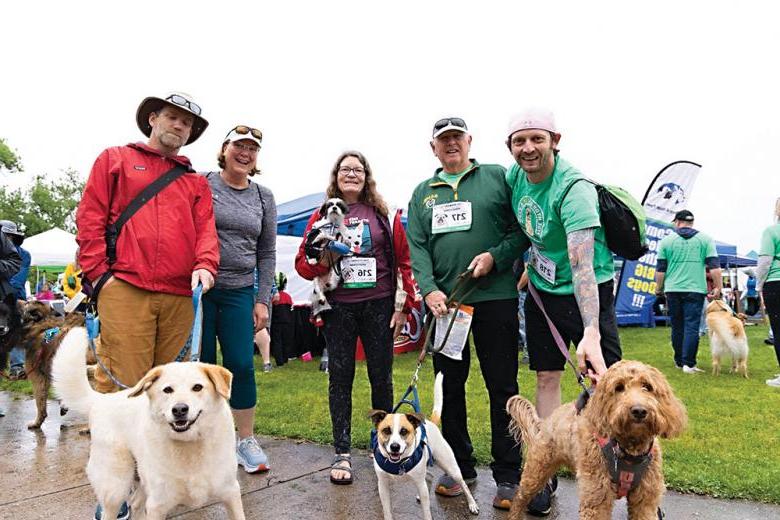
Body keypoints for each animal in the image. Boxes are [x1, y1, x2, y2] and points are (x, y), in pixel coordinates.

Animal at [51, 330, 244, 520]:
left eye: (197, 387)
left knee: (136, 502)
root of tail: (102, 399)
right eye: (167, 390)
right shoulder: (157, 505)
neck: (189, 446)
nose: (179, 409)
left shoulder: (231, 493)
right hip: (115, 487)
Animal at [368, 374, 482, 520]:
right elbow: (387, 511)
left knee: (464, 485)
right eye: (386, 430)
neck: (399, 464)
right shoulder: (383, 486)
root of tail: (430, 422)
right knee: (429, 476)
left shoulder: (420, 484)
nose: (395, 447)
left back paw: (472, 505)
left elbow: (427, 512)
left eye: (404, 431)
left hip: (451, 468)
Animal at [506, 362, 684, 520]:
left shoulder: (645, 501)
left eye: (647, 386)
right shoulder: (597, 498)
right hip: (536, 470)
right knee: (519, 498)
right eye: (619, 387)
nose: (639, 410)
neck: (628, 451)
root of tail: (545, 423)